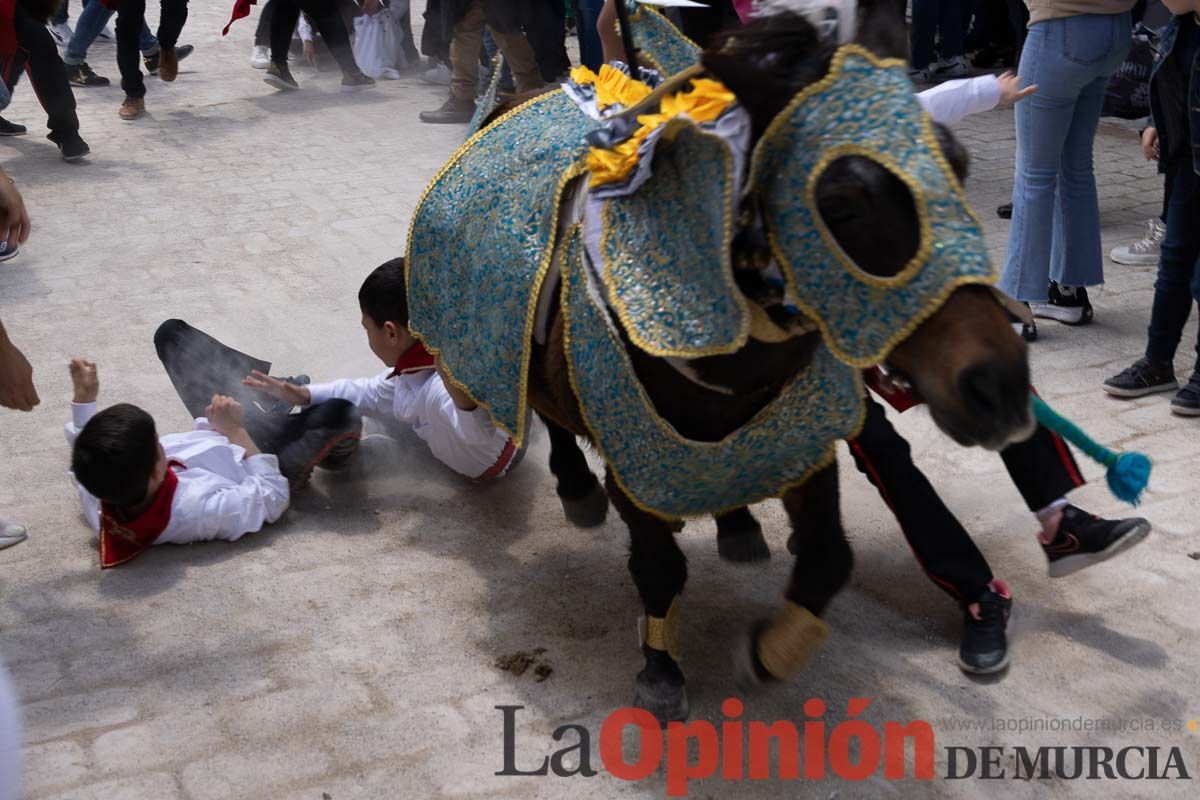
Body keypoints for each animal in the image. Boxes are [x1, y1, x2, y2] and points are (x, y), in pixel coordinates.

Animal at [400, 1, 1032, 724]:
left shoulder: (804, 443)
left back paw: (738, 526)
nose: (998, 385)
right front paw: (661, 670)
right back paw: (578, 490)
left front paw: (773, 649)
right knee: (548, 415)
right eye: (840, 204)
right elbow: (658, 567)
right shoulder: (632, 458)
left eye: (958, 165)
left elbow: (829, 556)